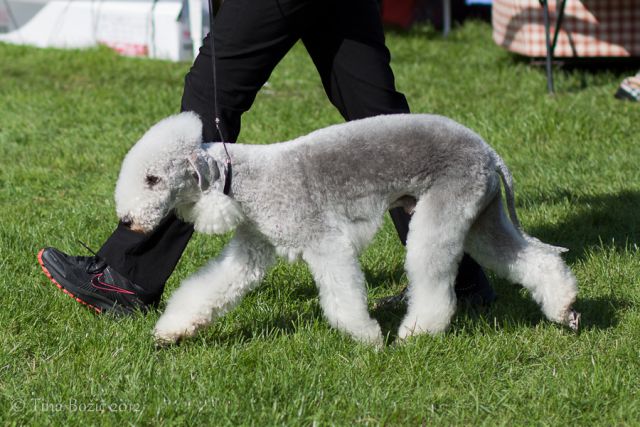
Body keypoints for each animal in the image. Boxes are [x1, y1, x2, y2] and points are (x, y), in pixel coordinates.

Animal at [115, 112, 580, 346]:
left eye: (152, 179)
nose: (127, 221)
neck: (241, 178)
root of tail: (487, 149)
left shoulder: (324, 242)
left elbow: (342, 294)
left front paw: (367, 337)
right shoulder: (253, 245)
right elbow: (211, 286)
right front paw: (171, 331)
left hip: (443, 211)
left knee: (432, 278)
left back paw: (415, 332)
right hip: (481, 216)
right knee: (532, 259)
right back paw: (565, 309)